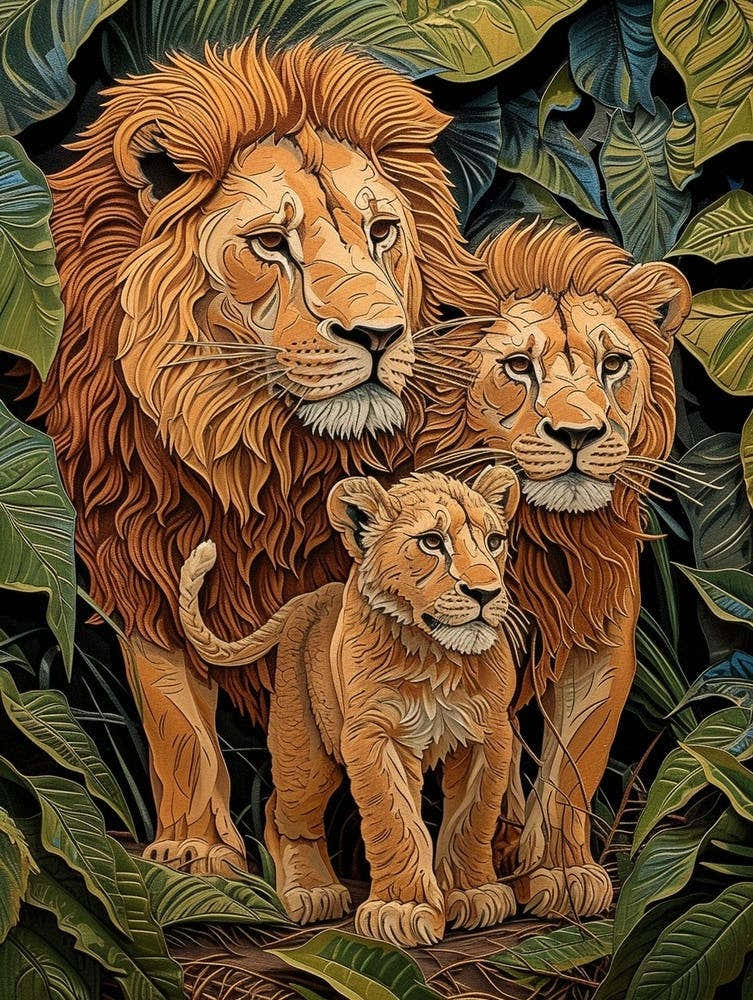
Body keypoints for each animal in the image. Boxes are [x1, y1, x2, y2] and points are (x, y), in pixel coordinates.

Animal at [30, 38, 494, 874]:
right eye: (271, 244)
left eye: (381, 231)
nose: (378, 336)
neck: (259, 455)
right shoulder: (141, 557)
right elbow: (177, 720)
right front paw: (194, 854)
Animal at [178, 467, 521, 947]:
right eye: (432, 541)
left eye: (494, 541)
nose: (486, 593)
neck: (436, 657)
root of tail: (310, 596)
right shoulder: (374, 734)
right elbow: (396, 818)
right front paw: (402, 909)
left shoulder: (488, 734)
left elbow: (474, 817)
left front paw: (473, 895)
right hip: (305, 750)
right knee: (285, 812)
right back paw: (311, 891)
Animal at [415, 220, 691, 917]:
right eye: (519, 366)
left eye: (613, 364)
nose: (578, 434)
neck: (550, 537)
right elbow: (492, 751)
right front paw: (496, 861)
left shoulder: (603, 639)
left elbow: (575, 764)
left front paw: (561, 873)